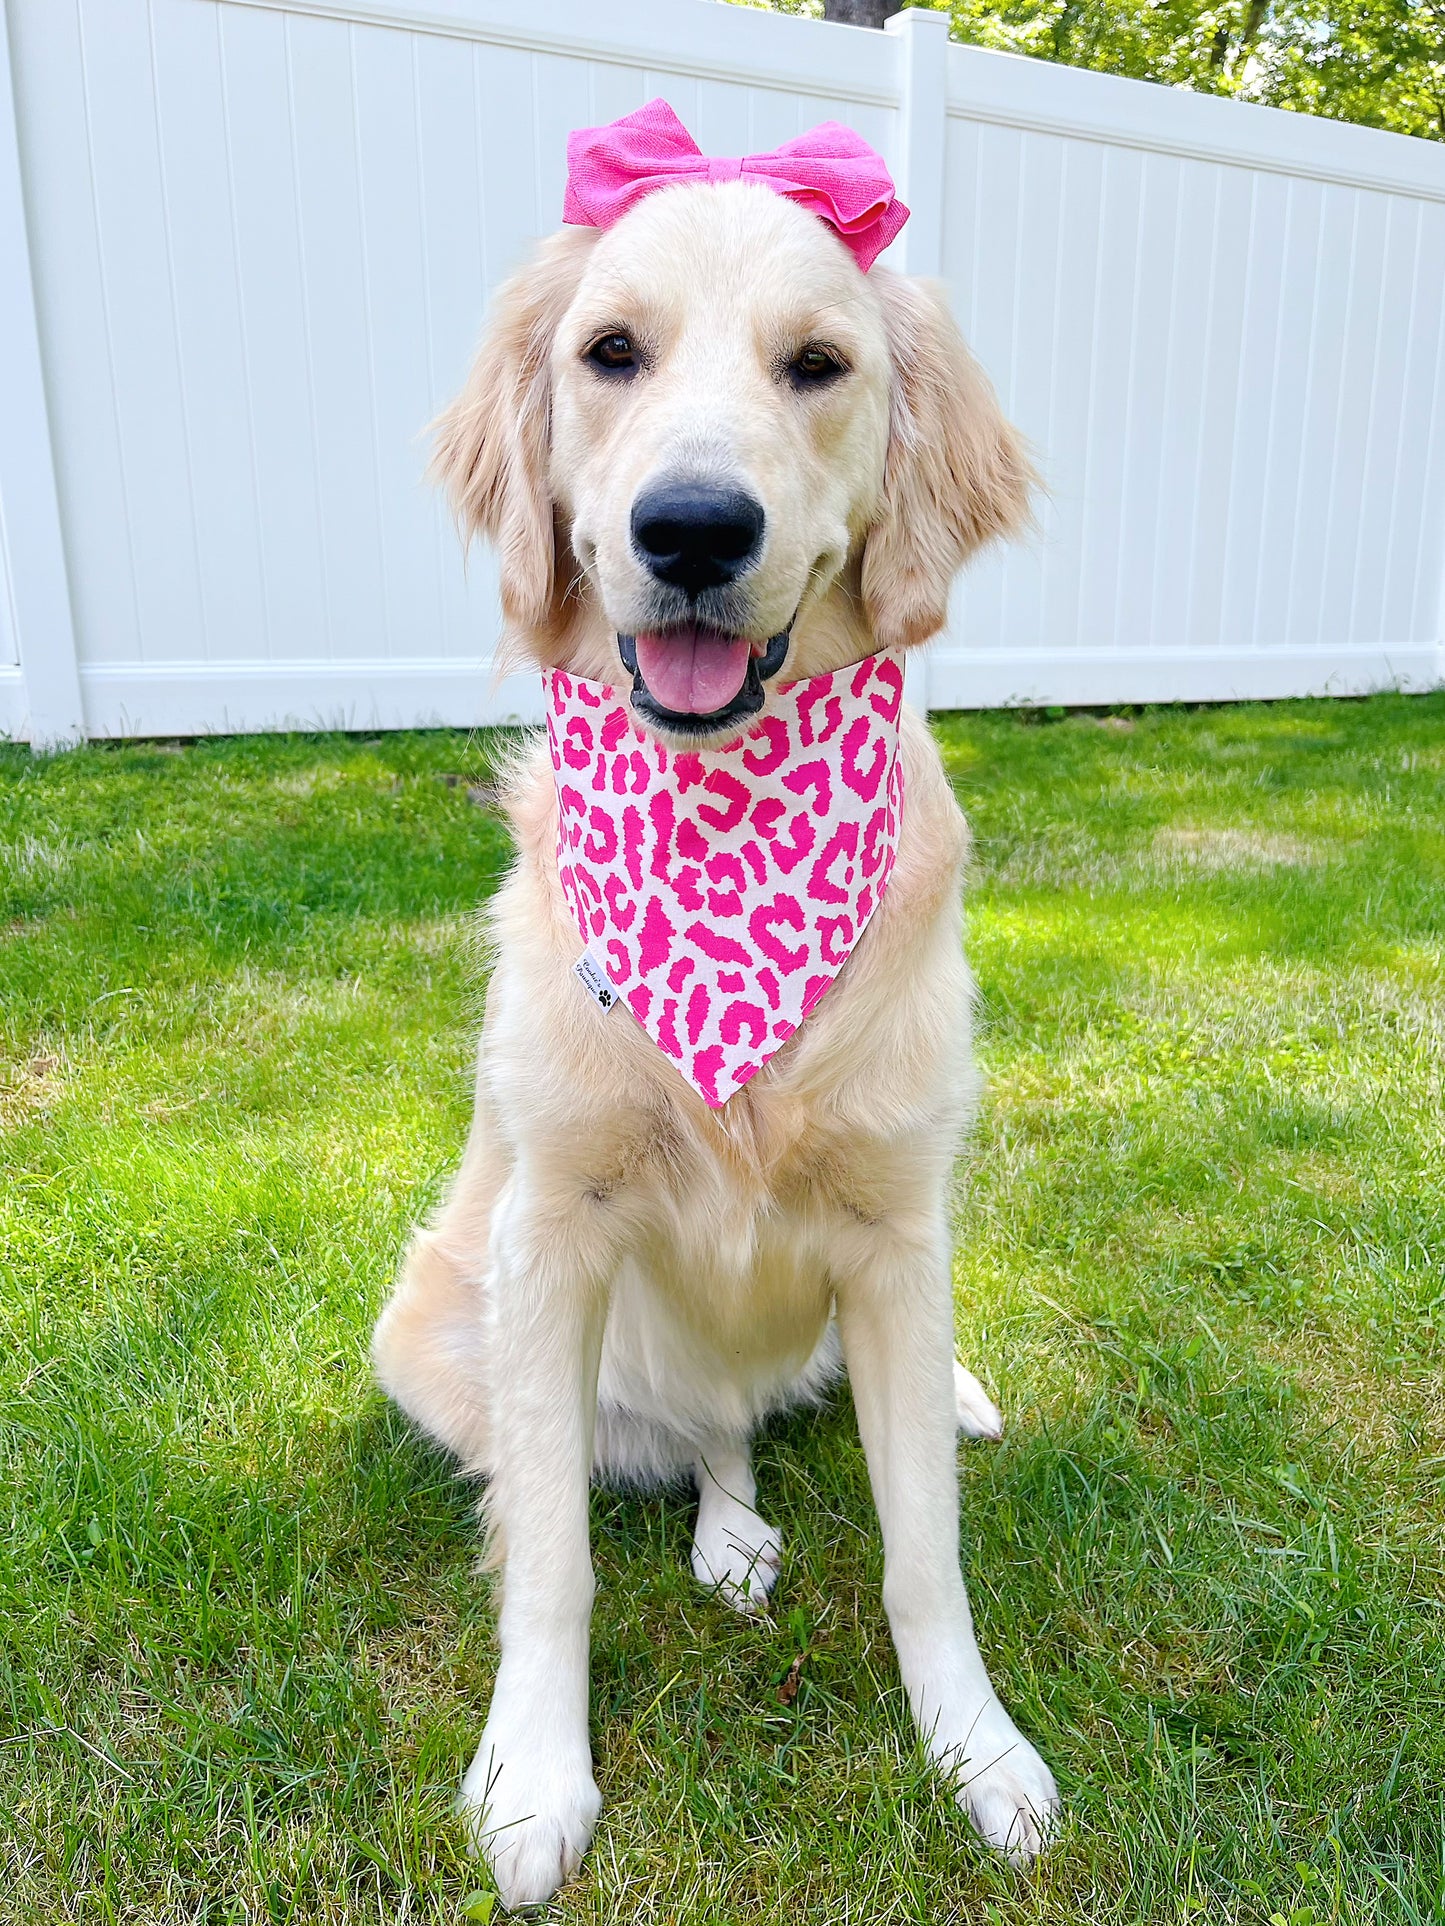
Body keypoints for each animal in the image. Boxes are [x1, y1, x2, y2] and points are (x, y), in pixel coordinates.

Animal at [373, 181, 1063, 1910]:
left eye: (818, 363)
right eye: (611, 352)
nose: (693, 528)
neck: (731, 815)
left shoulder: (897, 1229)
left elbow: (925, 1554)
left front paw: (976, 1752)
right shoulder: (550, 1227)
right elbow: (548, 1560)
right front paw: (532, 1773)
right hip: (437, 1332)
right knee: (700, 1436)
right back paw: (728, 1527)